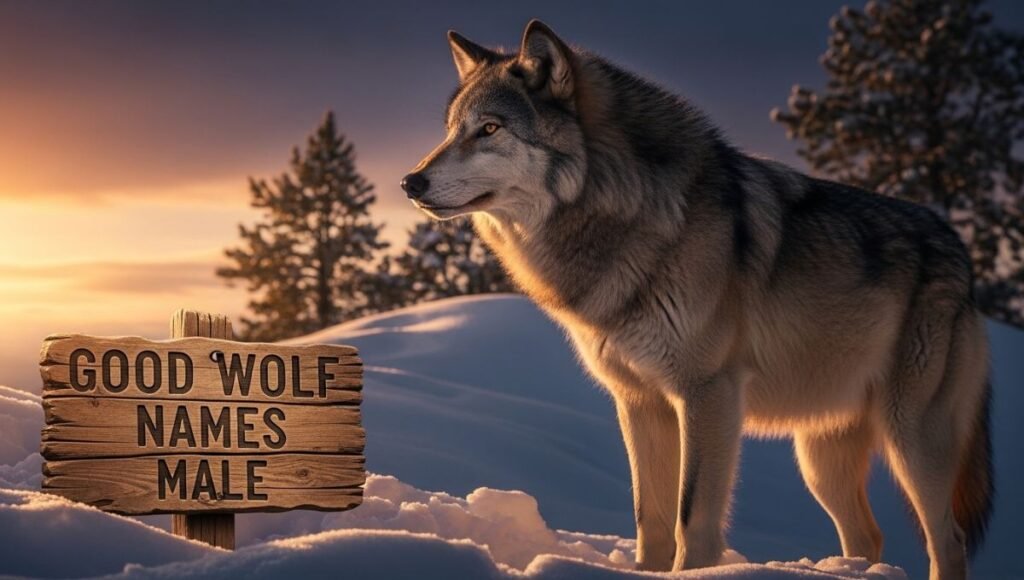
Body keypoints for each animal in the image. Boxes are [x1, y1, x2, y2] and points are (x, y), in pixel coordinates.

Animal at [401, 20, 994, 580]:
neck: (628, 214)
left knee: (948, 540)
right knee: (868, 537)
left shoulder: (707, 394)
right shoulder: (639, 402)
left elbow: (691, 518)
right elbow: (651, 517)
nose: (410, 181)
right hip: (819, 458)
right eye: (452, 130)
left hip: (912, 438)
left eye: (490, 128)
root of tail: (961, 254)